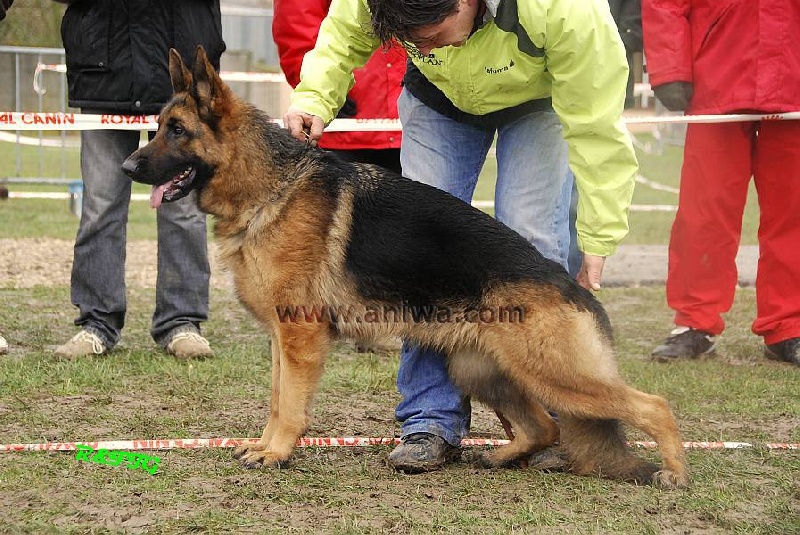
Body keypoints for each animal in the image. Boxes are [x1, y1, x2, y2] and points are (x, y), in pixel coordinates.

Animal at [123, 48, 688, 488]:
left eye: (177, 131)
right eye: (157, 128)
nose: (128, 166)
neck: (269, 187)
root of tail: (575, 286)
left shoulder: (300, 337)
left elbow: (289, 405)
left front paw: (277, 452)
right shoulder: (282, 341)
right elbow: (275, 399)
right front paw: (264, 446)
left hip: (554, 374)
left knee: (653, 404)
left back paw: (675, 472)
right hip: (483, 370)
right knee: (543, 428)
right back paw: (503, 456)